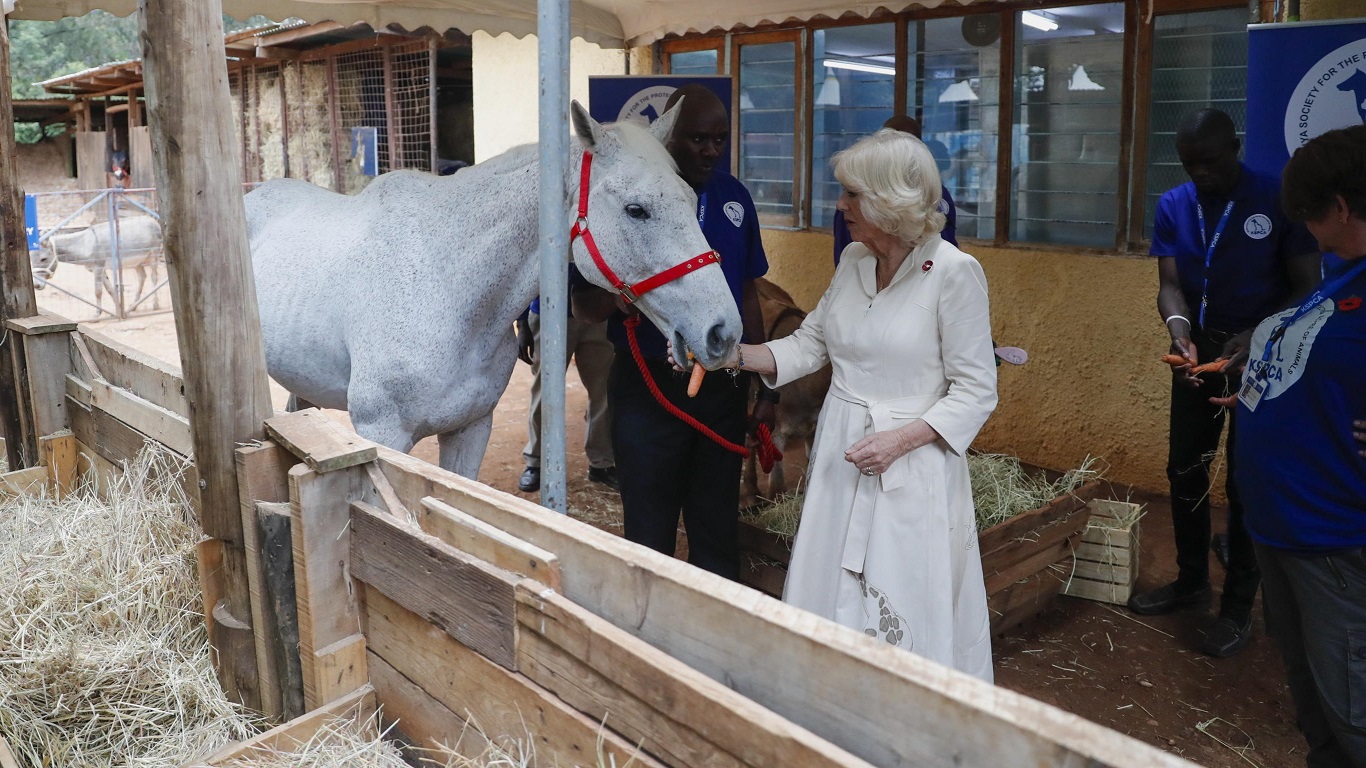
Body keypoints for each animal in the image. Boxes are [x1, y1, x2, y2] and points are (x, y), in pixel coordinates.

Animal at [246, 101, 742, 479]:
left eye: (690, 197)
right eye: (636, 209)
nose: (724, 332)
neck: (447, 287)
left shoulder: (470, 430)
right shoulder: (381, 436)